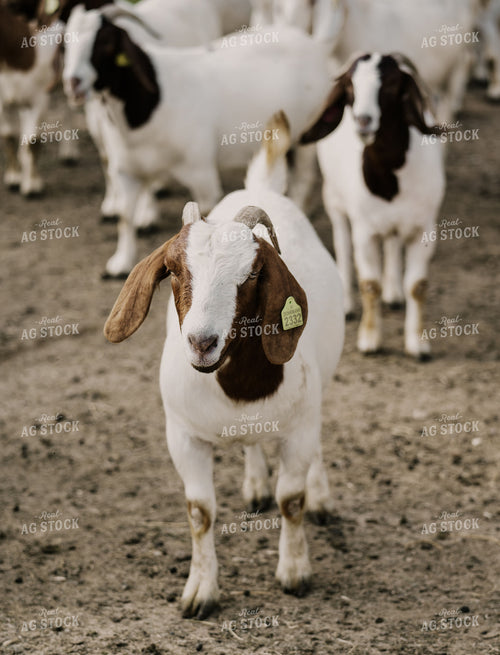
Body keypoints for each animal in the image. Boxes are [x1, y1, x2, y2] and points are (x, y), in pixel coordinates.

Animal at [63, 6, 331, 277]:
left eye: (105, 42)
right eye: (65, 41)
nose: (73, 82)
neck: (154, 102)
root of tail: (311, 43)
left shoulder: (201, 172)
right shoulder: (126, 170)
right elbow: (124, 216)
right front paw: (120, 263)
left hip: (308, 133)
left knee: (304, 178)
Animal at [103, 112, 345, 619]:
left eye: (252, 274)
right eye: (174, 270)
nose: (201, 342)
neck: (238, 387)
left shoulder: (298, 428)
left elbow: (291, 500)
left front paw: (295, 572)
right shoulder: (183, 436)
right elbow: (200, 512)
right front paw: (200, 592)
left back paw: (320, 494)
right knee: (252, 445)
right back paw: (254, 482)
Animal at [301, 53, 445, 358]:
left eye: (390, 85)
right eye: (350, 89)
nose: (363, 120)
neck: (389, 184)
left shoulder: (424, 228)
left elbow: (417, 286)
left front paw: (418, 343)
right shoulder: (364, 231)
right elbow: (370, 284)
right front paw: (369, 339)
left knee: (391, 243)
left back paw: (394, 293)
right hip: (334, 199)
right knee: (342, 243)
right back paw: (346, 301)